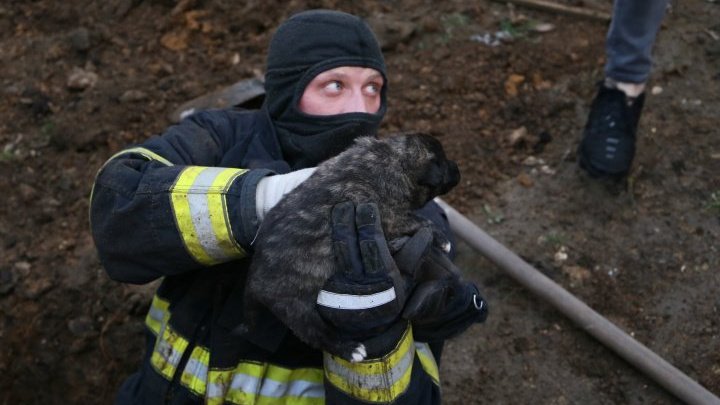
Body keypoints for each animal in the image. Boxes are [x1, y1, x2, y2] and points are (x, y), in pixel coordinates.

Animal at [245, 132, 458, 360]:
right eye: (443, 163)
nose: (457, 168)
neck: (394, 156)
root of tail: (254, 277)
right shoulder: (393, 215)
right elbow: (422, 221)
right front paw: (442, 239)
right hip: (295, 305)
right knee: (315, 333)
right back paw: (350, 349)